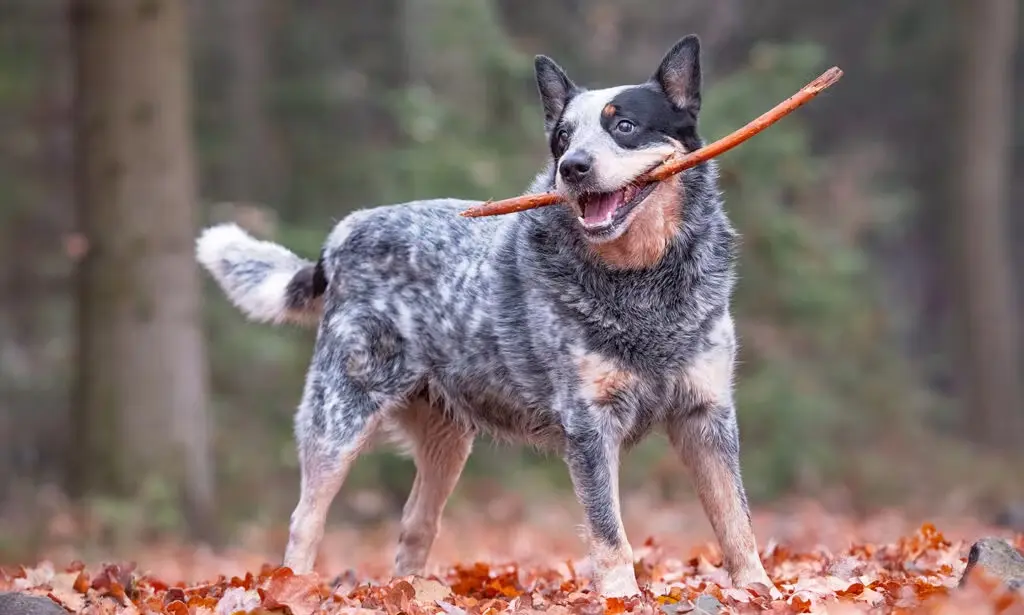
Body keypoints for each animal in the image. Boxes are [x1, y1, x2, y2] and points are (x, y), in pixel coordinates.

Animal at [193, 33, 770, 593]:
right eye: (563, 138)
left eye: (624, 126)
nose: (572, 168)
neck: (645, 282)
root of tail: (342, 234)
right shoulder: (589, 425)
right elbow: (610, 534)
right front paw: (621, 597)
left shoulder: (707, 415)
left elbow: (736, 521)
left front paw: (757, 590)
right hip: (339, 418)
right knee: (305, 520)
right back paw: (294, 585)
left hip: (446, 440)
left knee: (415, 524)